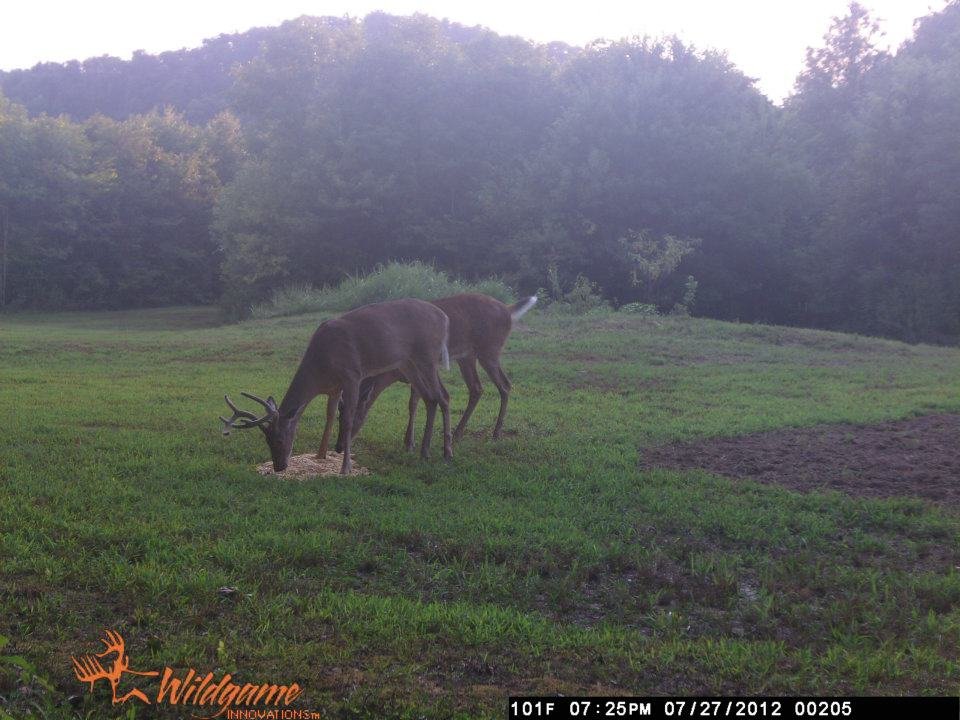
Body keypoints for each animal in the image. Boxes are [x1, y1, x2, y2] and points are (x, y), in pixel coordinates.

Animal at [220, 298, 452, 475]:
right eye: (266, 440)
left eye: (279, 439)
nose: (278, 467)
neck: (321, 369)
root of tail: (444, 318)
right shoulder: (334, 387)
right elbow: (330, 415)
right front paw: (320, 455)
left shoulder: (352, 375)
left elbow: (348, 420)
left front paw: (345, 467)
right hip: (408, 363)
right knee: (430, 397)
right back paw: (425, 451)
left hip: (426, 356)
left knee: (443, 395)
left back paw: (447, 452)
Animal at [332, 293, 537, 453]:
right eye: (338, 415)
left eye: (356, 414)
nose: (339, 446)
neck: (391, 373)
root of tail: (507, 309)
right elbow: (413, 403)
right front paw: (409, 441)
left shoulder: (425, 367)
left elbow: (423, 400)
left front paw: (411, 443)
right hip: (467, 356)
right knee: (477, 388)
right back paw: (458, 433)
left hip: (489, 350)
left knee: (505, 384)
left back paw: (495, 433)